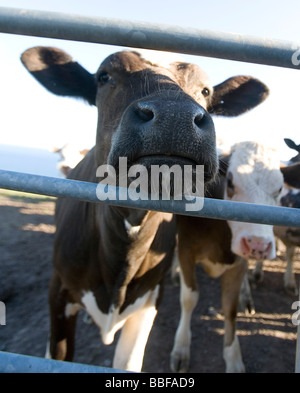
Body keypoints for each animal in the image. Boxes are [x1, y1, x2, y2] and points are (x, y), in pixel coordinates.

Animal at [170, 139, 300, 372]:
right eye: (229, 183)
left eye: (279, 189)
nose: (258, 244)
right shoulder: (186, 250)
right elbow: (189, 299)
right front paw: (181, 348)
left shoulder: (238, 262)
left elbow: (230, 309)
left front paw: (233, 358)